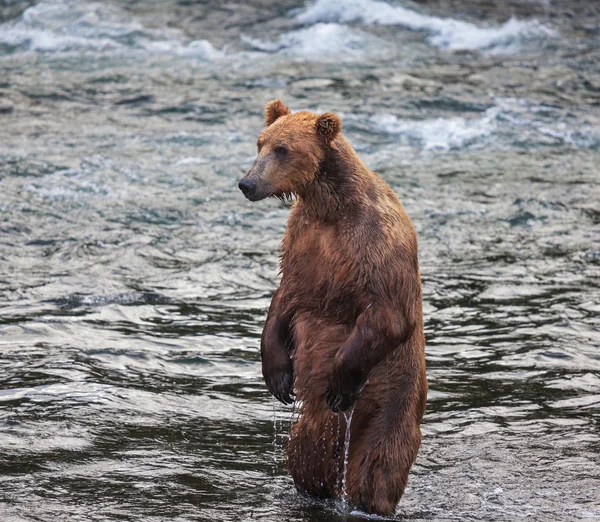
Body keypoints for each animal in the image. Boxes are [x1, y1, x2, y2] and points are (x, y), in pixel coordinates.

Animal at [238, 99, 426, 512]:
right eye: (260, 143)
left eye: (282, 149)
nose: (247, 183)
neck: (329, 206)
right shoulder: (304, 242)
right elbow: (286, 296)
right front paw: (278, 376)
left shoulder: (374, 241)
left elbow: (388, 314)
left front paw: (340, 382)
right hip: (319, 428)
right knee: (305, 454)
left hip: (393, 399)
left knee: (377, 465)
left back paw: (367, 500)